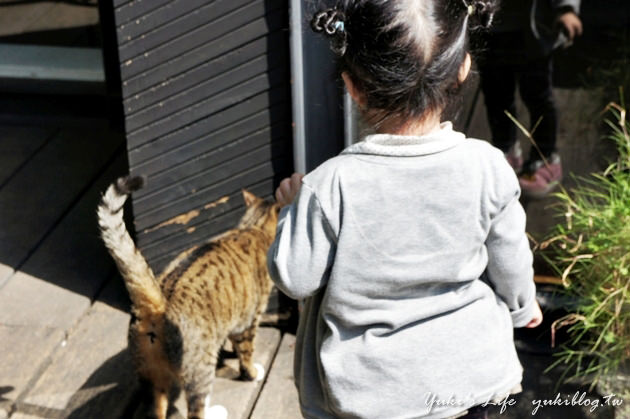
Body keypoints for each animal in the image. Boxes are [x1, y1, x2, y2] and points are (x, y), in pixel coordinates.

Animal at [97, 176, 280, 418]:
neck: (254, 227)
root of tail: (159, 304)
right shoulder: (249, 321)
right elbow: (246, 354)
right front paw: (252, 373)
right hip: (200, 369)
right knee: (196, 410)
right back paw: (216, 412)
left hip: (152, 379)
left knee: (156, 410)